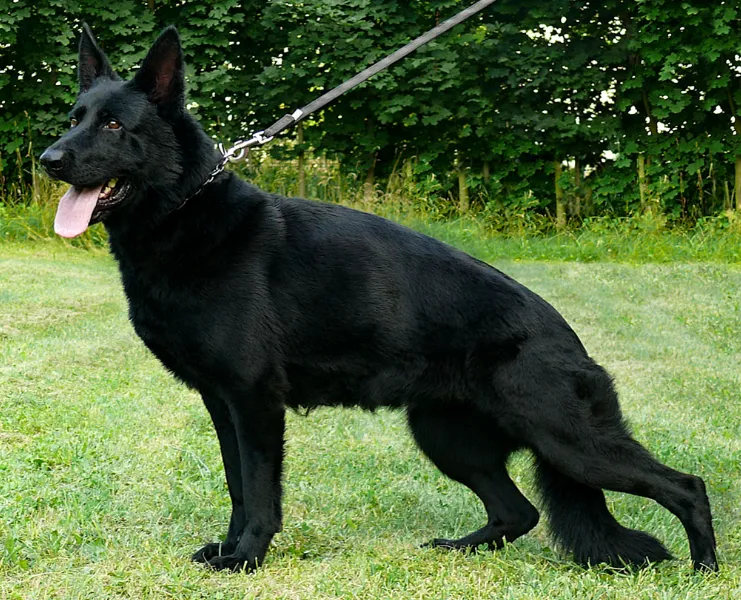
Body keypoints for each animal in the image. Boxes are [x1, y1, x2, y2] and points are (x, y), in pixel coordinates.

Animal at [40, 24, 716, 572]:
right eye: (75, 117)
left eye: (114, 124)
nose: (48, 159)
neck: (186, 211)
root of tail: (567, 336)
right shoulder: (222, 403)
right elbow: (236, 485)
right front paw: (229, 548)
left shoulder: (255, 402)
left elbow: (259, 492)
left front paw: (246, 558)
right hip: (448, 438)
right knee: (518, 512)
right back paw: (462, 550)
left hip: (567, 441)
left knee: (686, 486)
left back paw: (704, 570)